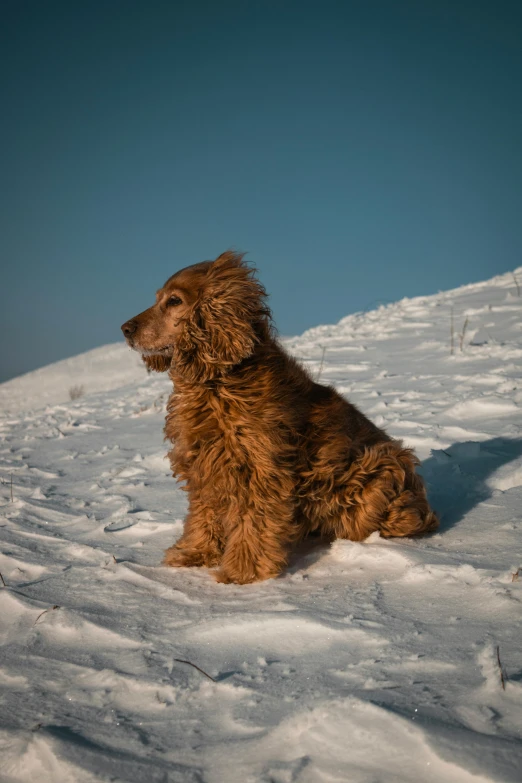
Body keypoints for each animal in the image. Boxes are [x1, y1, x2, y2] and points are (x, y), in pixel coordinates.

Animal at [122, 251, 434, 580]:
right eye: (157, 298)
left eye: (174, 301)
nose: (125, 329)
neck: (216, 382)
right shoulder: (205, 465)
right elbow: (203, 515)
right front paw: (195, 553)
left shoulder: (258, 467)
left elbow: (254, 521)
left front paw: (243, 572)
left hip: (378, 466)